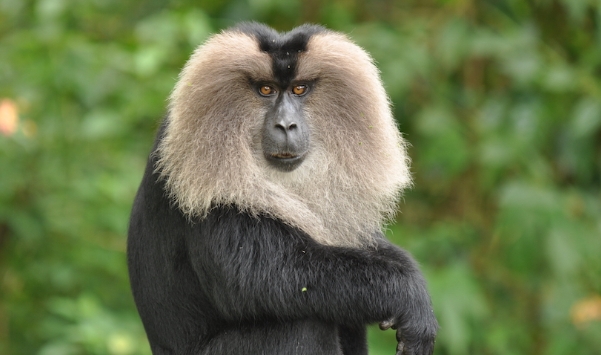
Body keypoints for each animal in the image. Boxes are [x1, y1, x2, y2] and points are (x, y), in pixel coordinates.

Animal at [127, 23, 436, 355]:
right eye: (266, 90)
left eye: (299, 89)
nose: (286, 125)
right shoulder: (203, 181)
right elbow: (258, 275)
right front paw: (409, 296)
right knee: (303, 325)